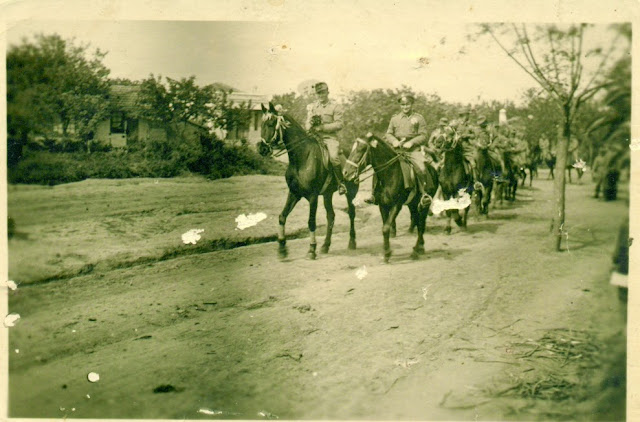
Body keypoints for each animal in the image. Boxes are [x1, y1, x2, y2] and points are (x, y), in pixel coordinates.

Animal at [260, 103, 360, 260]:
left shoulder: (313, 196)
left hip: (351, 193)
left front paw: (312, 249)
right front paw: (282, 248)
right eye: (261, 124)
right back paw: (325, 245)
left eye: (270, 124)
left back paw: (351, 242)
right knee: (331, 216)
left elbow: (311, 222)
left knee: (351, 213)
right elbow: (282, 217)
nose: (261, 148)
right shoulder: (294, 193)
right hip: (327, 195)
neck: (301, 158)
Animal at [344, 134, 440, 262]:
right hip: (413, 204)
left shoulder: (396, 205)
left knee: (421, 224)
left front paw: (387, 253)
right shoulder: (383, 205)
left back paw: (416, 250)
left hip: (424, 204)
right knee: (417, 220)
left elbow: (386, 228)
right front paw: (386, 252)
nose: (345, 172)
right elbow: (385, 228)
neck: (390, 174)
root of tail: (433, 169)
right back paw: (420, 247)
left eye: (361, 149)